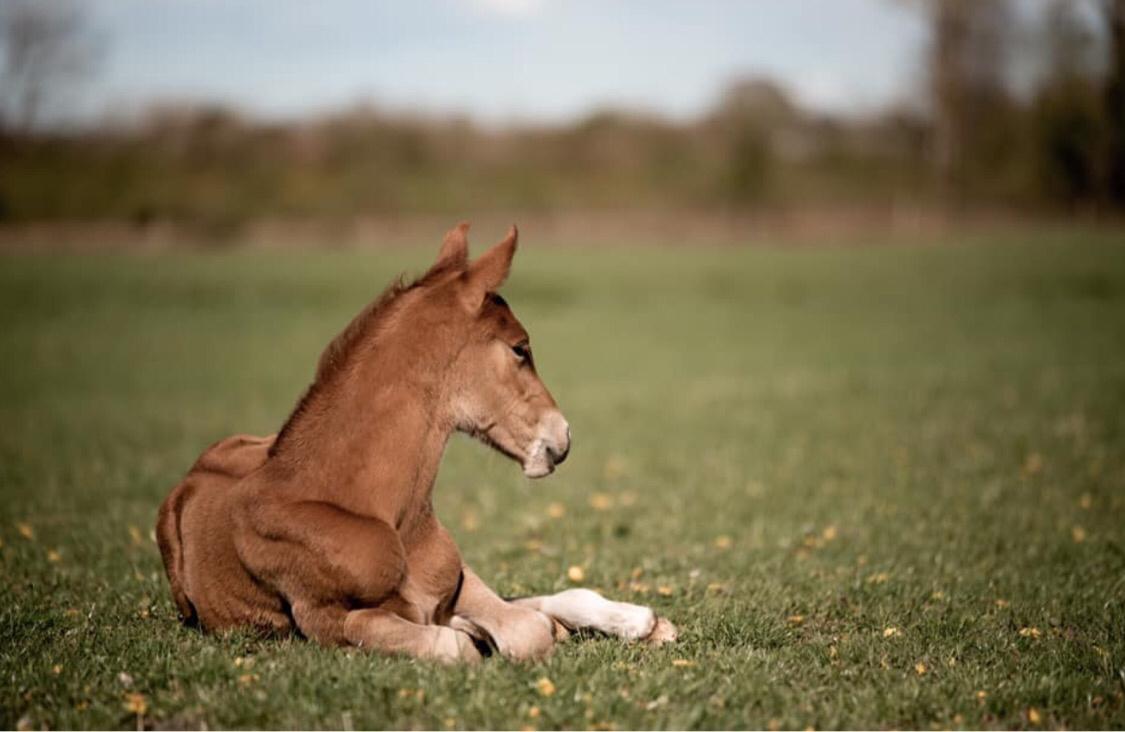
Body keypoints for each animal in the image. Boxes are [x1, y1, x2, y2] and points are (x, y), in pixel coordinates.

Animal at [154, 224, 670, 665]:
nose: (563, 436)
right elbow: (461, 642)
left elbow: (525, 624)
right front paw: (477, 635)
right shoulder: (324, 620)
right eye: (520, 349)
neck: (377, 514)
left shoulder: (456, 582)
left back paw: (643, 622)